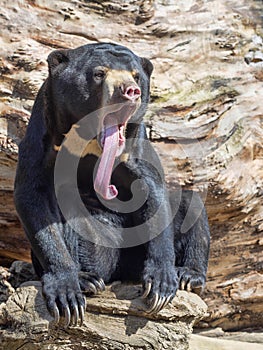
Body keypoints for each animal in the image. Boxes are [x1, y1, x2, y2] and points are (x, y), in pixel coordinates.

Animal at [14, 42, 211, 326]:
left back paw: (188, 275)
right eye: (99, 73)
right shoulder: (43, 132)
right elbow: (35, 197)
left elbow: (152, 190)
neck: (90, 140)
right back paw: (88, 279)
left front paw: (161, 285)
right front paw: (67, 293)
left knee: (190, 204)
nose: (130, 91)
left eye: (136, 76)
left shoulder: (134, 145)